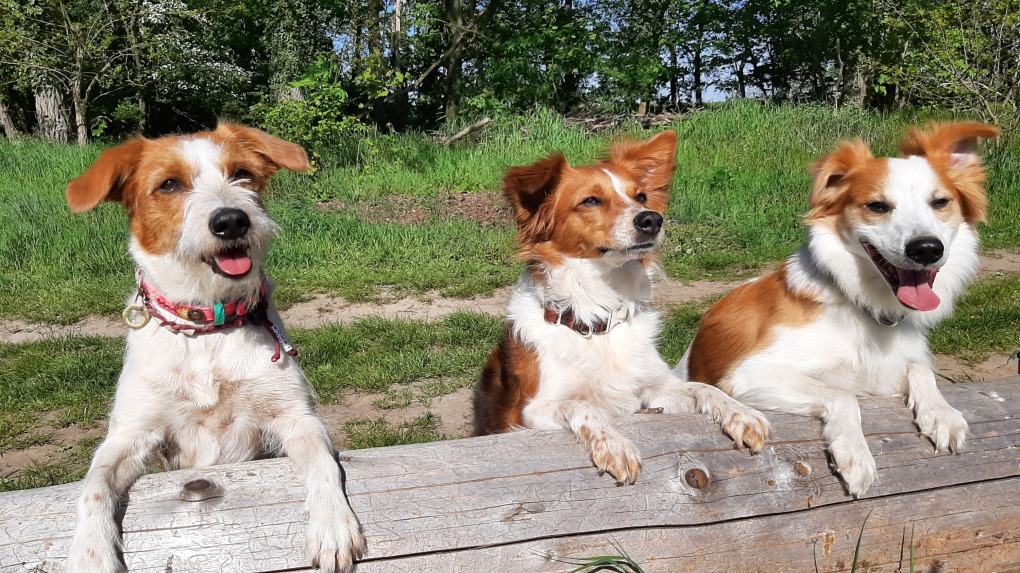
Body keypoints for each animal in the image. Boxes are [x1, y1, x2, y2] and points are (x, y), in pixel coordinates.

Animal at [64, 123, 367, 570]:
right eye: (169, 184)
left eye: (240, 173)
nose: (231, 221)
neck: (208, 329)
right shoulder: (129, 436)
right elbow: (93, 487)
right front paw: (89, 556)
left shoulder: (295, 416)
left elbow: (324, 464)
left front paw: (333, 526)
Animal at [473, 130, 767, 481]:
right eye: (590, 200)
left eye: (640, 197)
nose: (652, 219)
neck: (597, 320)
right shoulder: (531, 412)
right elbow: (582, 405)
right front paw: (614, 445)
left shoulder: (651, 392)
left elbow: (701, 387)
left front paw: (743, 413)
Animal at [673, 121, 999, 495]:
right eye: (877, 206)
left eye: (940, 202)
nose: (927, 249)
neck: (864, 305)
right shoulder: (748, 373)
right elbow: (842, 394)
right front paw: (855, 454)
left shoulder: (884, 373)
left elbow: (921, 369)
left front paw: (942, 414)